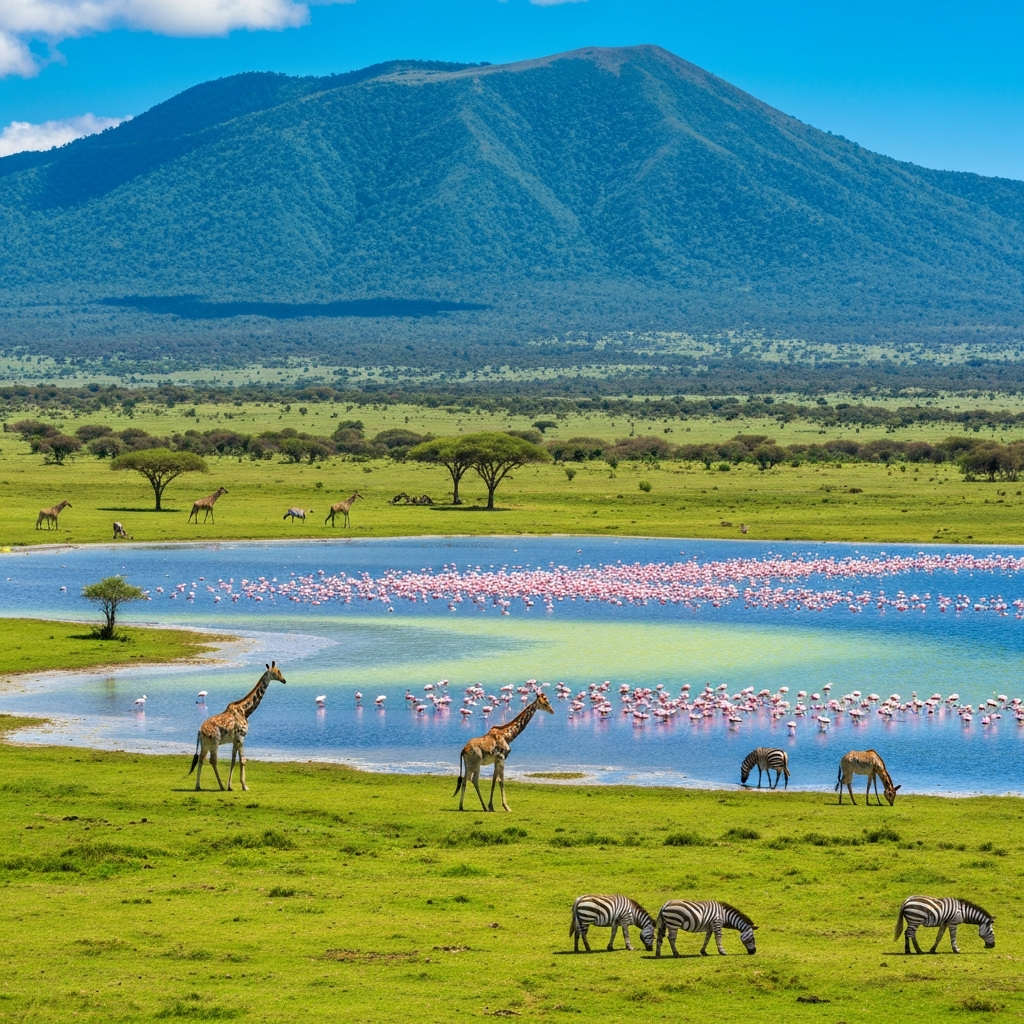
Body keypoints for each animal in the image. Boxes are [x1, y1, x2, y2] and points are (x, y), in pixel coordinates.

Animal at [189, 662, 286, 791]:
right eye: (277, 672)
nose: (284, 680)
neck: (246, 711)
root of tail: (199, 731)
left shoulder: (235, 740)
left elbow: (233, 760)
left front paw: (230, 786)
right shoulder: (241, 737)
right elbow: (242, 760)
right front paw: (244, 786)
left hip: (205, 745)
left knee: (201, 759)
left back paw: (198, 786)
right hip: (214, 743)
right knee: (212, 760)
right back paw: (220, 786)